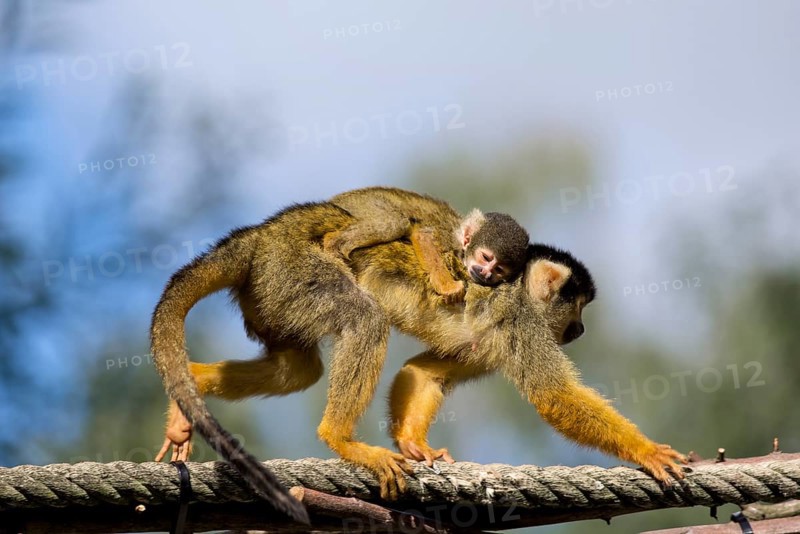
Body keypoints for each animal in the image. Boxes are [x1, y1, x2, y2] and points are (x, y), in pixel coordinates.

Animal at [325, 187, 530, 303]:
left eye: (499, 270)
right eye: (486, 258)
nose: (486, 274)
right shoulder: (448, 237)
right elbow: (424, 237)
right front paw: (447, 286)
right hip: (363, 204)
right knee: (395, 222)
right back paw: (333, 244)